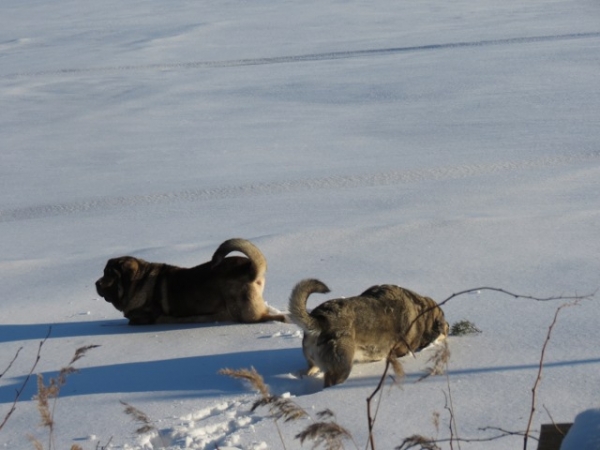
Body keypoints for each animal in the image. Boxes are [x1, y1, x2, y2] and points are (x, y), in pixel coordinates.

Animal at [288, 278, 448, 386]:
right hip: (342, 367)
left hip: (312, 360)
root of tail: (321, 318)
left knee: (311, 369)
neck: (421, 310)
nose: (447, 327)